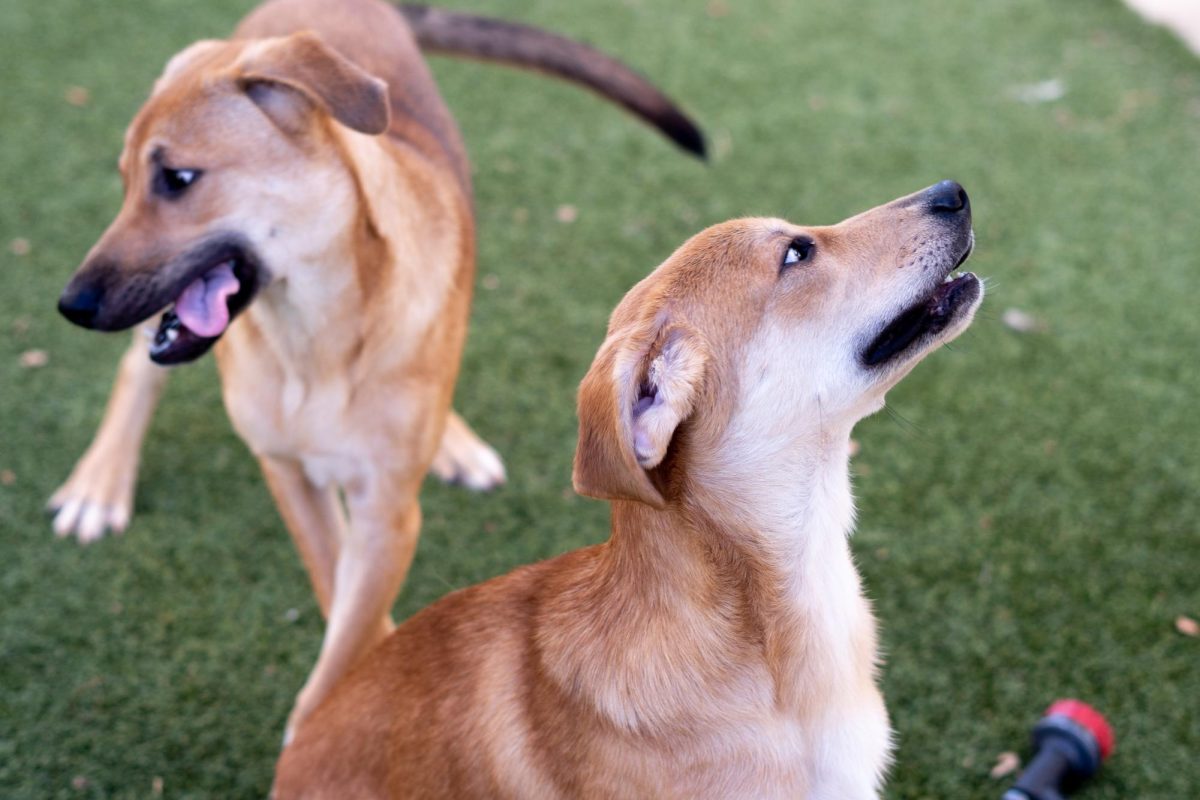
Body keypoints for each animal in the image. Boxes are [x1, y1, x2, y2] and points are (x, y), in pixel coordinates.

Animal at [51, 0, 700, 743]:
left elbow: (351, 628)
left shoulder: (388, 511)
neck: (310, 339)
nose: (72, 305)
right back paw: (100, 482)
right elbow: (339, 595)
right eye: (125, 179)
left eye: (178, 179)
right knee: (140, 368)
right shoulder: (289, 474)